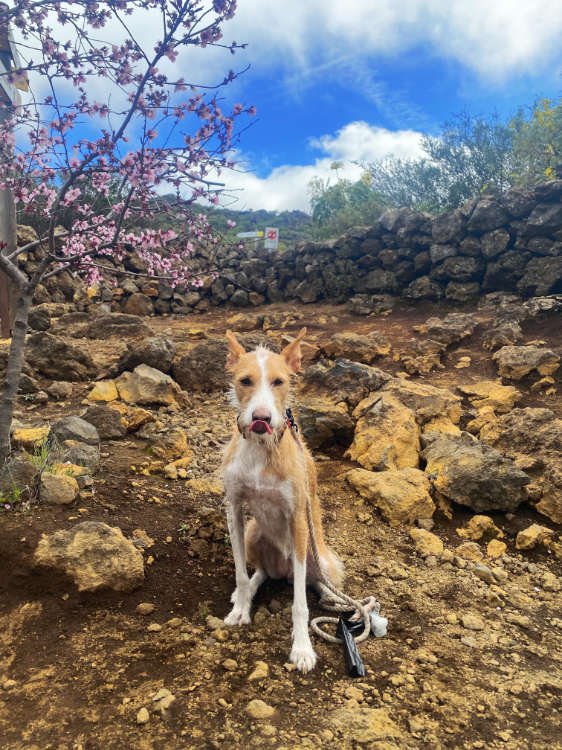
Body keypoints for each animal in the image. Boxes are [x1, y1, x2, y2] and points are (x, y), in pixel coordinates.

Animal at [220, 328, 342, 676]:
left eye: (279, 381)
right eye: (245, 381)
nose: (261, 418)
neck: (262, 449)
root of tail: (283, 570)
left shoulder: (297, 518)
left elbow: (300, 603)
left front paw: (302, 648)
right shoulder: (234, 509)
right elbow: (240, 572)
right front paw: (241, 608)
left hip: (323, 557)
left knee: (315, 580)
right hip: (253, 533)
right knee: (261, 572)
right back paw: (248, 590)